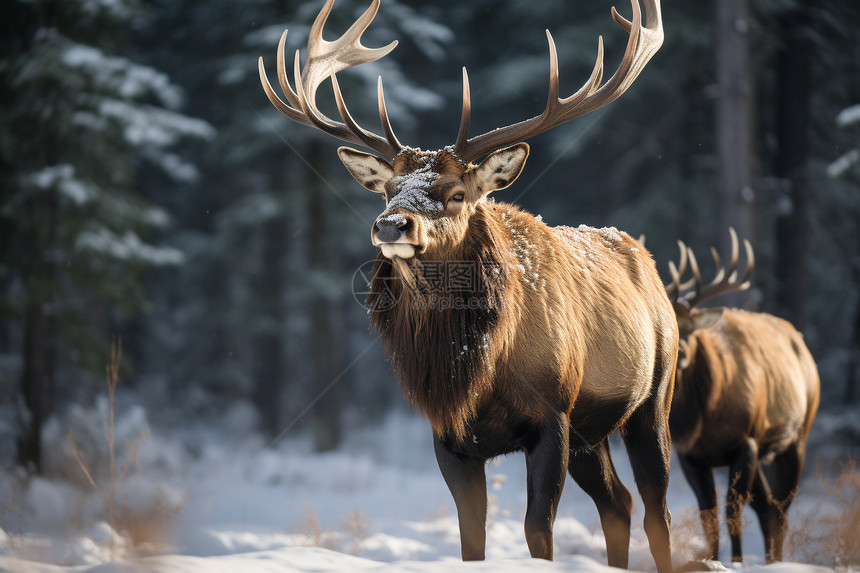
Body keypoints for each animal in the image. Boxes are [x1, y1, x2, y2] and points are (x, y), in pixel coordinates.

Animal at [258, 0, 676, 568]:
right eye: (387, 189)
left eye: (456, 193)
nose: (391, 225)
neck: (476, 370)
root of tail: (646, 260)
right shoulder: (448, 435)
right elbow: (469, 537)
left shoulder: (553, 417)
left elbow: (537, 530)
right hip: (592, 435)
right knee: (619, 502)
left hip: (655, 396)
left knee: (657, 508)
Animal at [664, 229, 820, 564]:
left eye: (691, 328)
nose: (679, 352)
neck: (703, 421)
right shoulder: (689, 454)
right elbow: (708, 514)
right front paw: (712, 559)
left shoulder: (745, 441)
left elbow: (731, 511)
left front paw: (736, 562)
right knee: (768, 508)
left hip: (797, 437)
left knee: (780, 509)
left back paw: (776, 562)